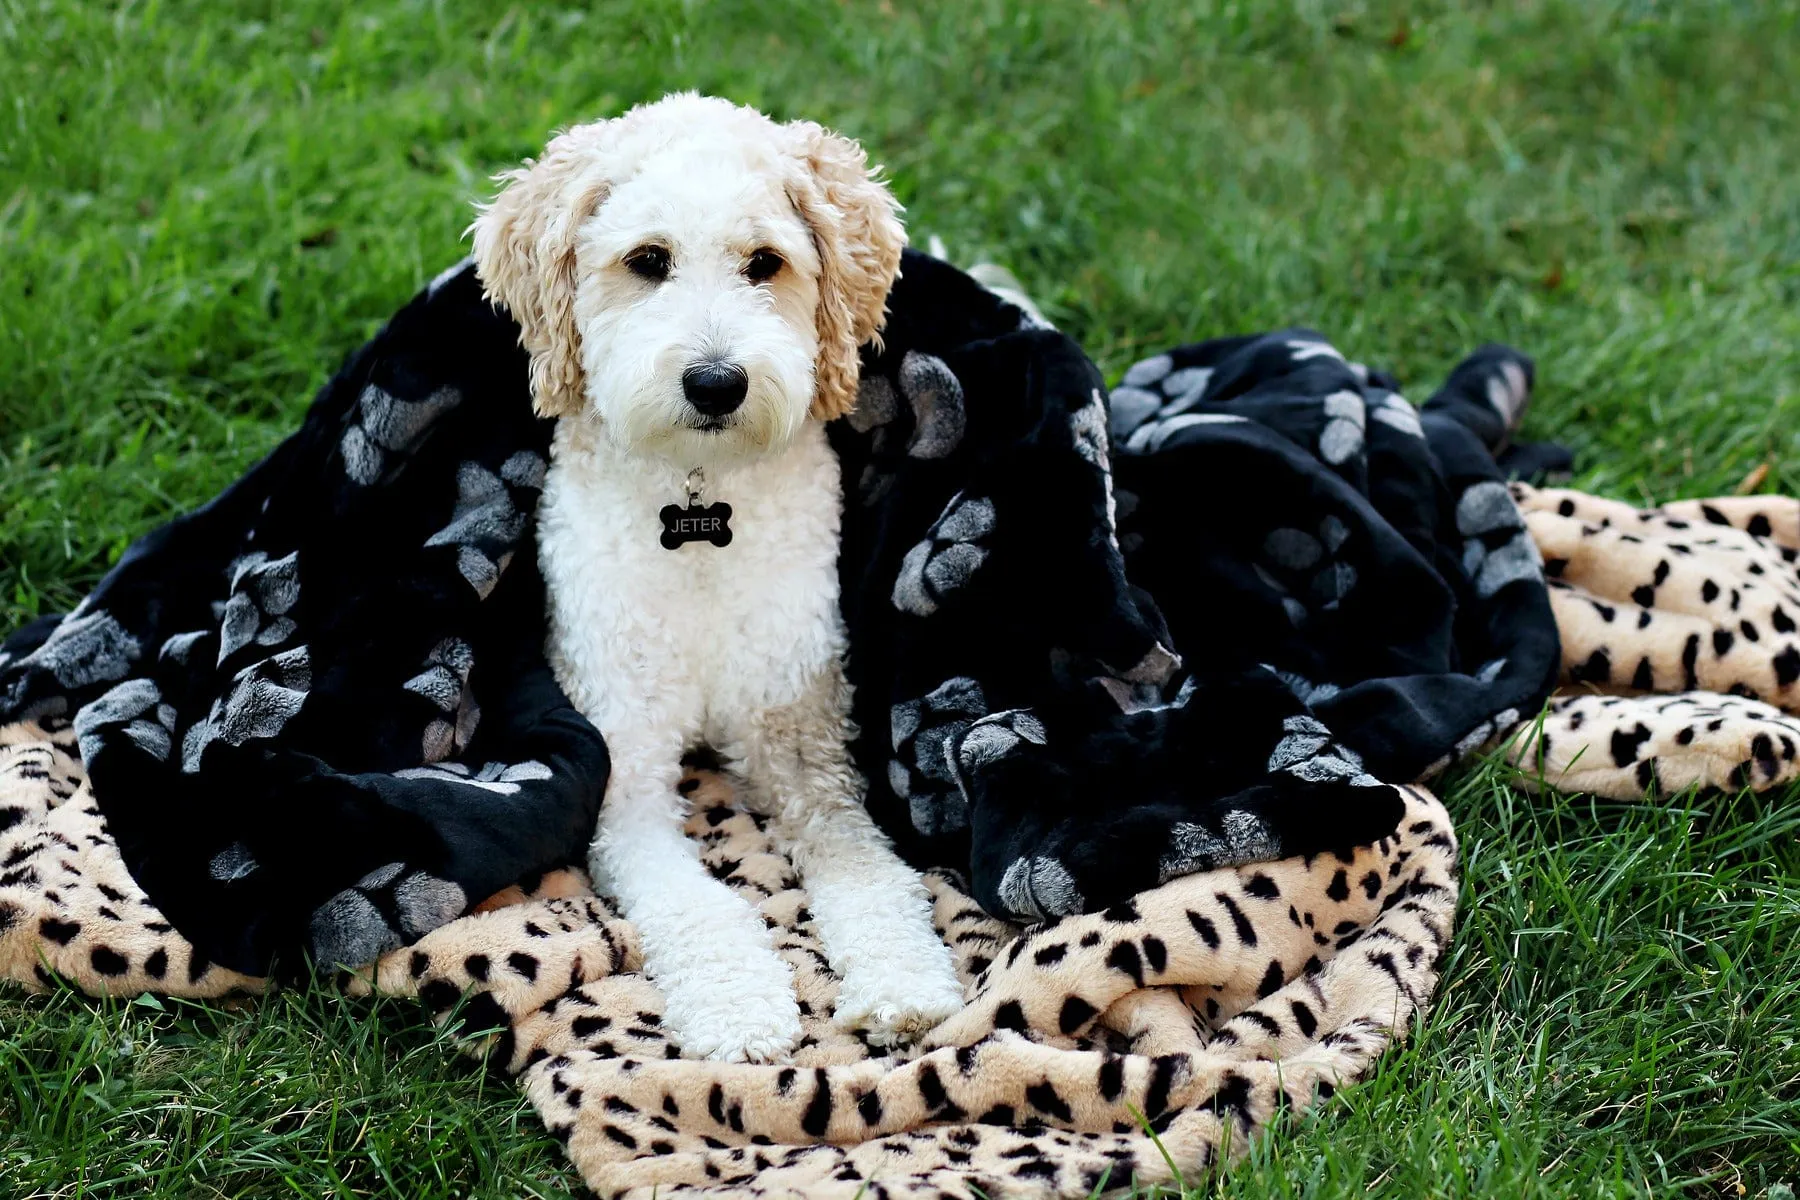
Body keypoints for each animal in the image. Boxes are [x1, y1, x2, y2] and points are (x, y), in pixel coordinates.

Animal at [468, 98, 972, 1065]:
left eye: (765, 262)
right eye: (647, 260)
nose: (715, 382)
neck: (699, 508)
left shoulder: (804, 736)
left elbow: (866, 868)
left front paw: (903, 983)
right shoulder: (621, 768)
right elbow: (695, 901)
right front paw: (739, 1010)